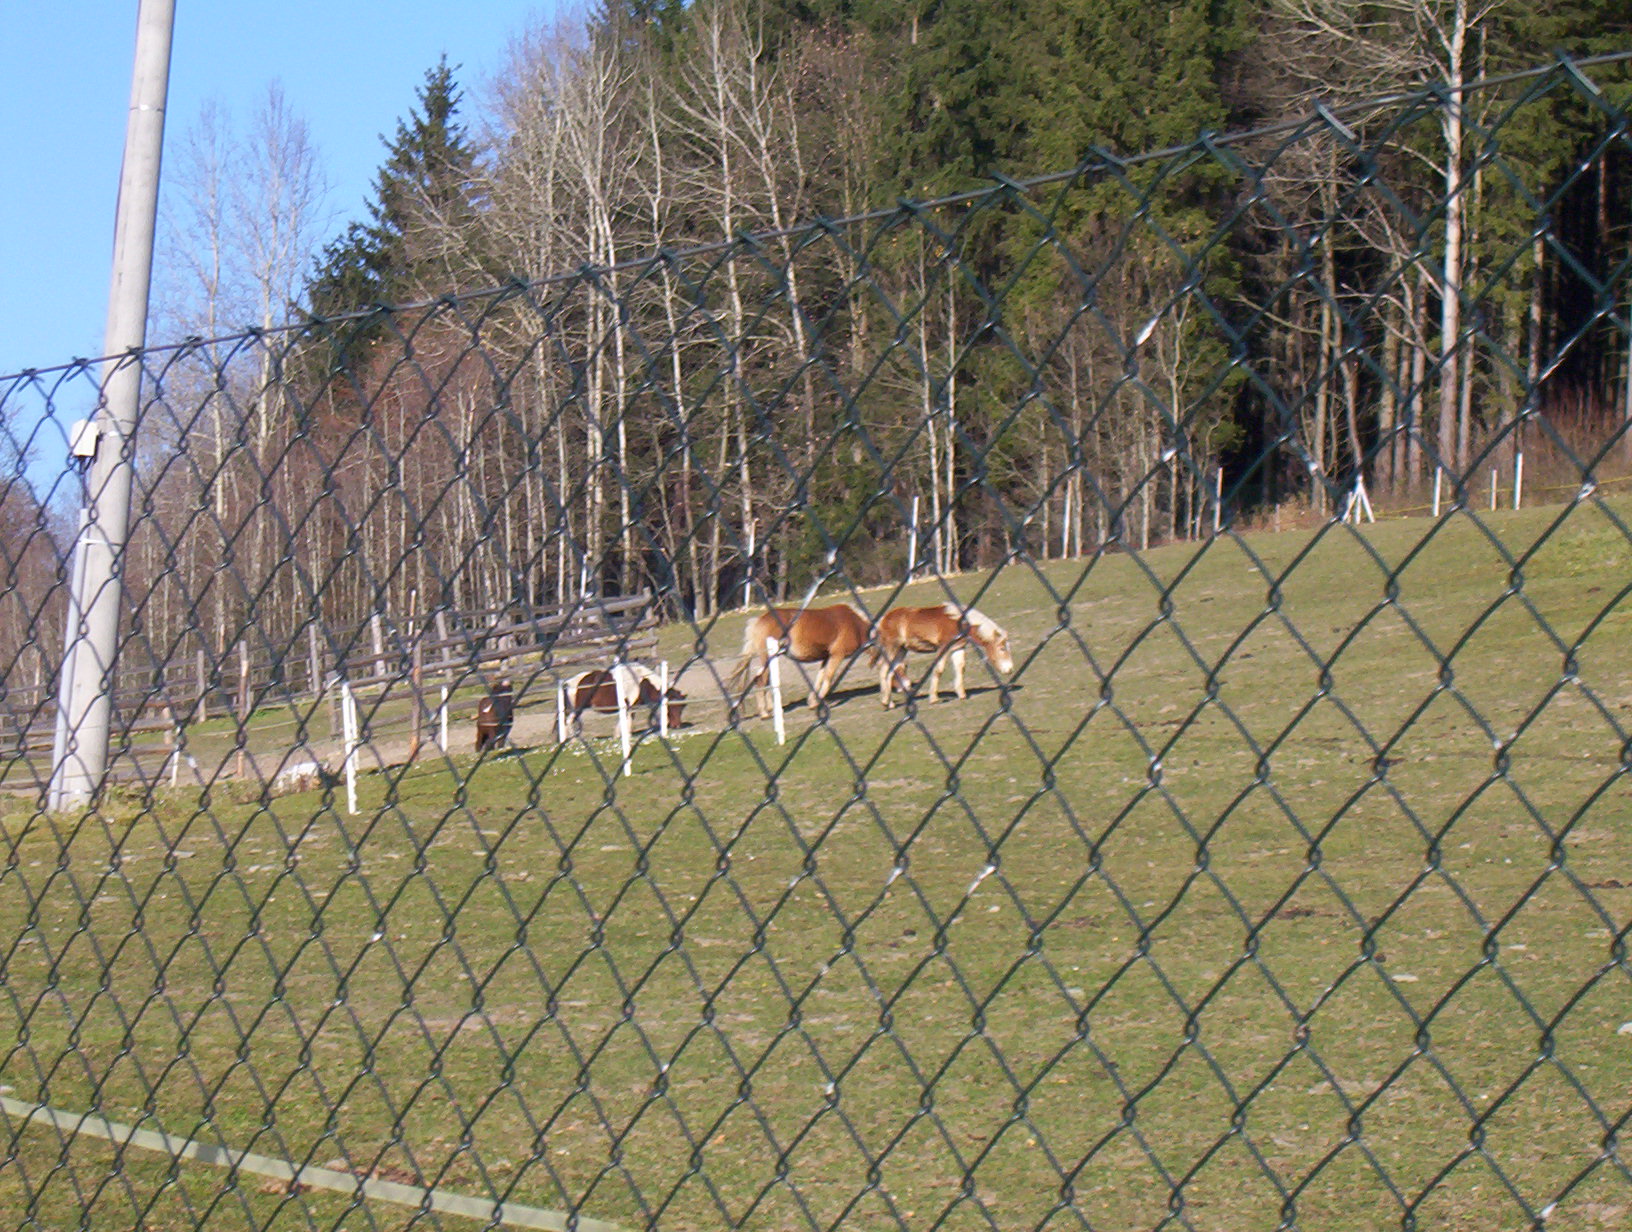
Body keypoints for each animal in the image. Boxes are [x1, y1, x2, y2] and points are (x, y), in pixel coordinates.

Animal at [727, 603, 887, 717]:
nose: (887, 698)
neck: (855, 624)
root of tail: (758, 621)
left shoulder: (826, 657)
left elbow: (819, 678)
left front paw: (812, 702)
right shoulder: (837, 655)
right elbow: (828, 679)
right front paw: (818, 703)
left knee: (766, 682)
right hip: (767, 659)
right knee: (760, 681)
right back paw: (764, 713)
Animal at [874, 603, 1011, 708]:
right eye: (1002, 648)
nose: (1009, 669)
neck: (958, 621)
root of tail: (884, 619)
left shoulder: (958, 648)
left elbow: (960, 668)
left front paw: (962, 694)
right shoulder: (943, 647)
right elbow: (939, 670)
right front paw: (934, 698)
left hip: (901, 650)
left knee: (890, 672)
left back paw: (890, 703)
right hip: (892, 648)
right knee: (883, 671)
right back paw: (886, 702)